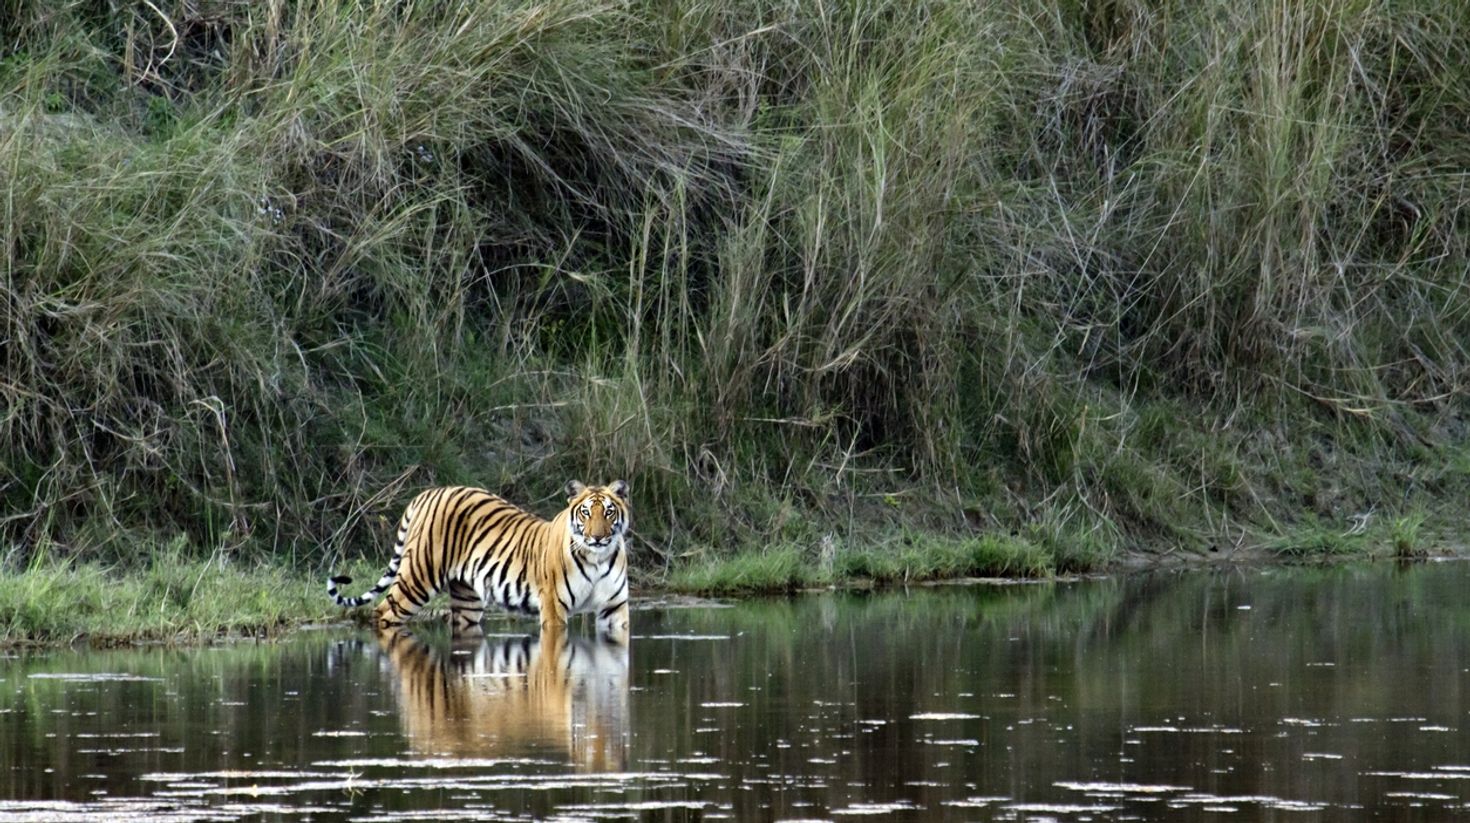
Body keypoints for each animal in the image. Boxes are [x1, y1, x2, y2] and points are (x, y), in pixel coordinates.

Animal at [327, 480, 630, 639]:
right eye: (586, 513)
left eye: (609, 512)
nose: (598, 537)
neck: (598, 558)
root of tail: (427, 493)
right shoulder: (554, 607)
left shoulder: (614, 608)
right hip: (417, 578)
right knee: (382, 612)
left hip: (467, 599)